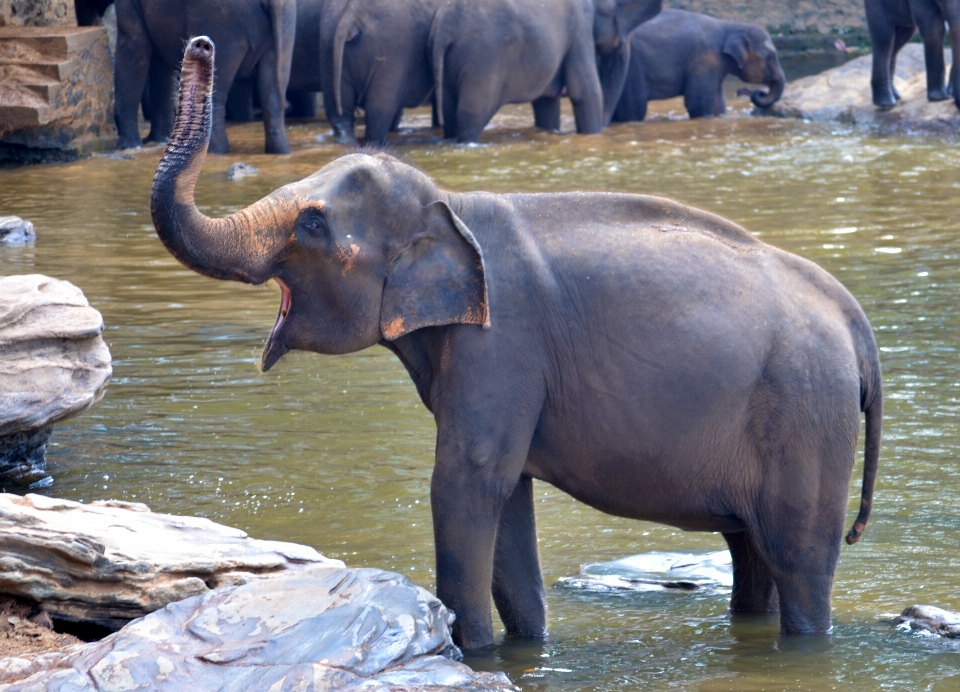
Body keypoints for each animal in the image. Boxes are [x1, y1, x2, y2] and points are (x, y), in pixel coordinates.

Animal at [112, 0, 294, 152]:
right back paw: (280, 151)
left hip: (221, 21)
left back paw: (214, 151)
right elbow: (160, 63)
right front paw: (158, 141)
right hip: (284, 25)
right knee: (272, 91)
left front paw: (130, 146)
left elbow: (134, 49)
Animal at [152, 37, 884, 652]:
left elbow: (467, 480)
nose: (201, 46)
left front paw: (470, 650)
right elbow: (509, 498)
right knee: (751, 554)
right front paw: (525, 647)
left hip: (807, 420)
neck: (450, 204)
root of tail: (854, 319)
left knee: (799, 562)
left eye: (311, 225)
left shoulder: (501, 344)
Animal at [318, 0, 446, 145]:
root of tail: (351, 16)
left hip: (328, 44)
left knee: (338, 111)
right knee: (380, 109)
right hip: (392, 50)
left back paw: (346, 141)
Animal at [434, 0, 664, 142]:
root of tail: (445, 26)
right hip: (483, 61)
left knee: (450, 114)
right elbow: (586, 92)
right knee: (471, 114)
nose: (607, 127)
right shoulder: (580, 28)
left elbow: (547, 101)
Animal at [612, 9, 784, 120]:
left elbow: (718, 103)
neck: (730, 25)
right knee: (634, 108)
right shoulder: (704, 60)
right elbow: (698, 104)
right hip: (631, 68)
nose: (758, 92)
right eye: (770, 56)